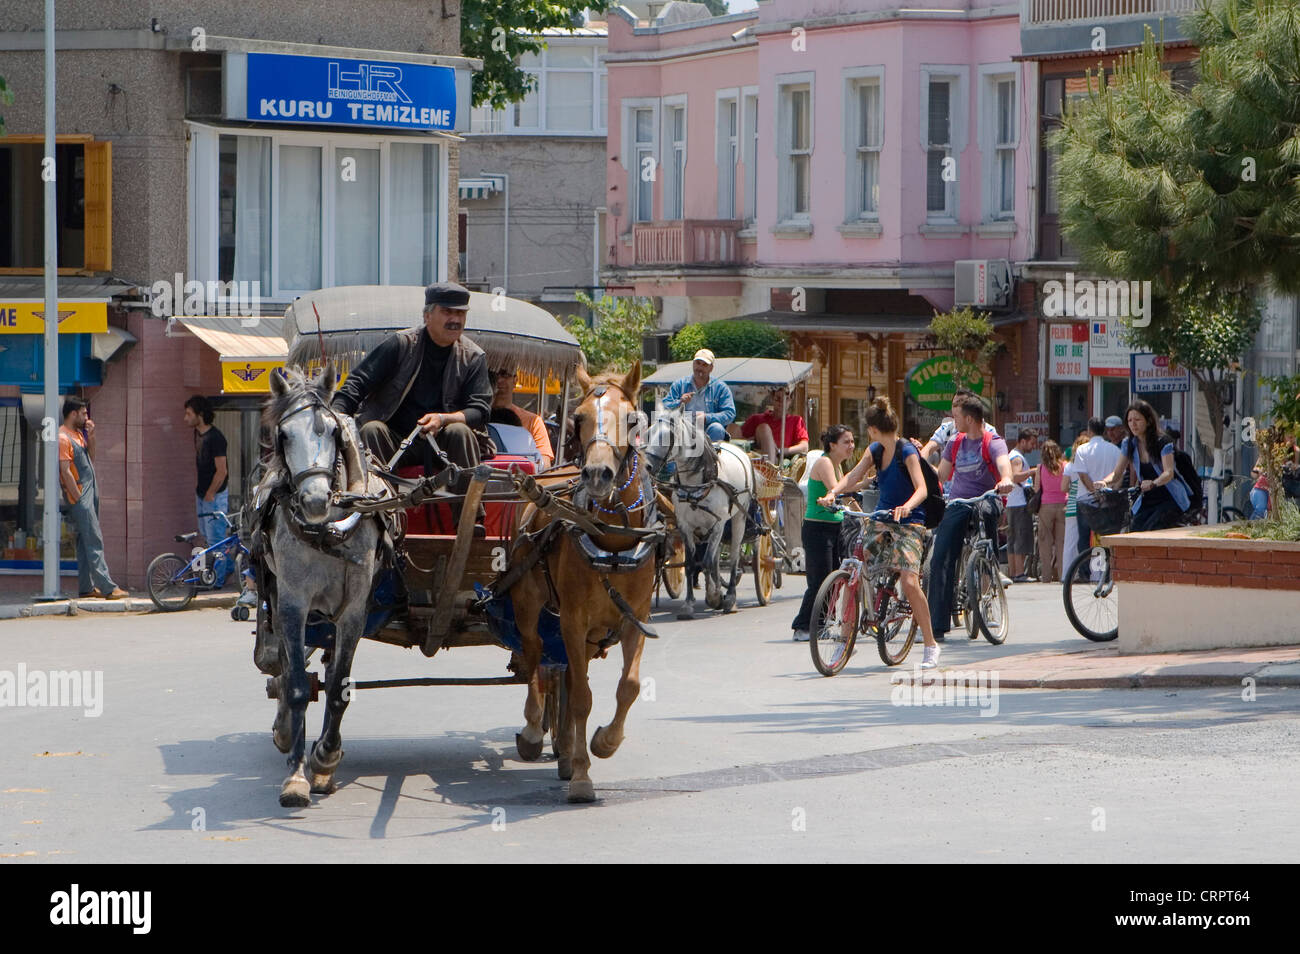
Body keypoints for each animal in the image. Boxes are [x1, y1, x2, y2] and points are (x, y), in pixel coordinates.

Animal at [254, 363, 382, 805]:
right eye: (283, 435)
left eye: (331, 431)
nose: (313, 500)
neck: (326, 530)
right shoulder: (293, 603)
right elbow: (295, 686)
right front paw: (296, 777)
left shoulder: (355, 608)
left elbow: (339, 687)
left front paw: (326, 757)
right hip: (279, 599)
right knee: (286, 665)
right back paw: (284, 730)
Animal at [501, 361, 655, 805]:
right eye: (578, 419)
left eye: (633, 419)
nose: (599, 474)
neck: (612, 540)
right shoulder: (571, 620)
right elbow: (582, 696)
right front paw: (584, 777)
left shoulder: (635, 619)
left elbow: (628, 686)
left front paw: (603, 743)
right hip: (528, 604)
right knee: (535, 660)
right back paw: (534, 731)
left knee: (564, 674)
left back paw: (566, 749)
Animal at [644, 410, 759, 621]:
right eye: (648, 433)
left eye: (669, 436)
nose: (647, 466)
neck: (697, 484)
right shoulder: (685, 526)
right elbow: (691, 563)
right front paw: (690, 604)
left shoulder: (718, 524)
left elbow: (706, 561)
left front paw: (715, 596)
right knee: (715, 559)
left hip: (739, 518)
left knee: (733, 557)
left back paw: (730, 598)